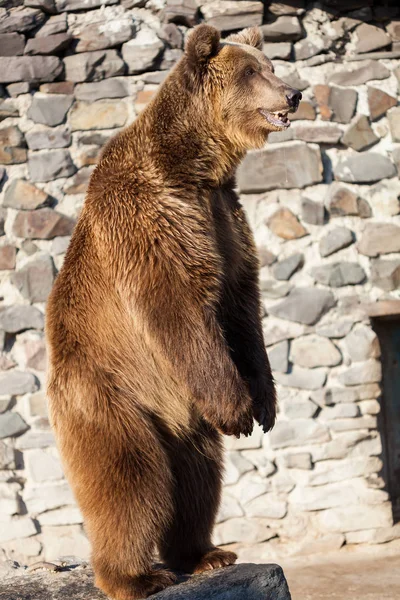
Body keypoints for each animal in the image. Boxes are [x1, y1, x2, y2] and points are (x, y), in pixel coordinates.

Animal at [46, 23, 300, 600]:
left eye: (271, 65)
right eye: (253, 71)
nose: (294, 93)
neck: (196, 167)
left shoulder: (225, 216)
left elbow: (241, 307)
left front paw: (266, 405)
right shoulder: (149, 218)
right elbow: (177, 306)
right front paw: (240, 410)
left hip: (183, 414)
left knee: (197, 478)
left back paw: (206, 553)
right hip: (109, 394)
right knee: (131, 482)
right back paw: (137, 575)